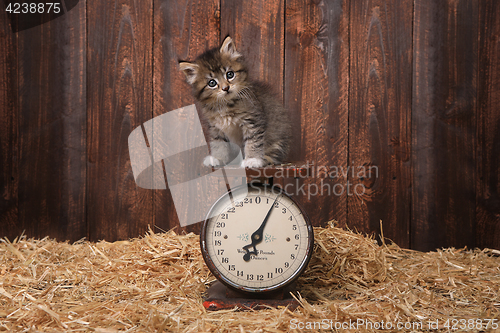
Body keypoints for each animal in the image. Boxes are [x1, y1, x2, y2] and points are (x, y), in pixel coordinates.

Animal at [179, 35, 290, 169]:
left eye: (230, 74)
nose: (226, 88)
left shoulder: (253, 120)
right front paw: (217, 158)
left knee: (274, 155)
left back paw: (264, 159)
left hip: (278, 139)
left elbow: (253, 141)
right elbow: (218, 142)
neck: (226, 105)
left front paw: (252, 159)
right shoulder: (215, 126)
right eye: (212, 83)